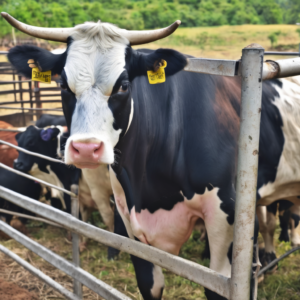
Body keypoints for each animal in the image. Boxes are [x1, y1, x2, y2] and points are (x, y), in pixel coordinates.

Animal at [4, 13, 300, 300]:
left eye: (123, 85)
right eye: (64, 85)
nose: (86, 149)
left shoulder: (226, 215)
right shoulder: (131, 220)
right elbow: (150, 284)